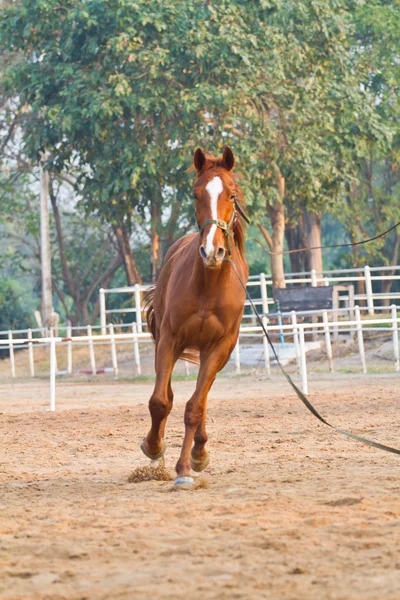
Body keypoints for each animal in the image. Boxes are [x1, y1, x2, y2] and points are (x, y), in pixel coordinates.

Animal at [141, 146, 247, 488]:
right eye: (196, 193)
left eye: (231, 194)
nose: (212, 251)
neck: (208, 284)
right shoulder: (170, 340)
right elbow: (160, 402)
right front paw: (153, 447)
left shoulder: (220, 346)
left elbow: (195, 408)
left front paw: (186, 468)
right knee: (168, 395)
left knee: (201, 397)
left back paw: (199, 452)